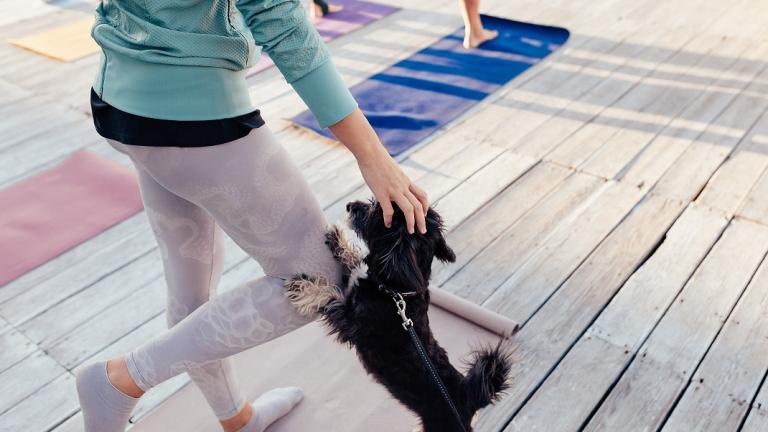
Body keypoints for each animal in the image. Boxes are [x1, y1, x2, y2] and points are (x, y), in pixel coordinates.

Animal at [284, 199, 512, 432]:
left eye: (377, 212)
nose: (350, 205)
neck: (398, 291)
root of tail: (470, 400)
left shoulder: (353, 323)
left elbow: (330, 299)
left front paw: (303, 287)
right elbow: (355, 261)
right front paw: (338, 239)